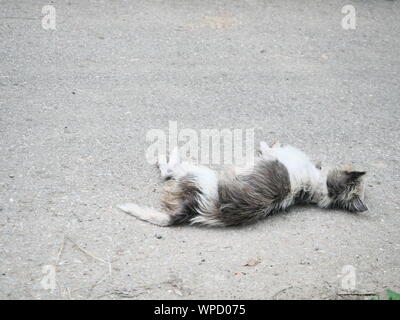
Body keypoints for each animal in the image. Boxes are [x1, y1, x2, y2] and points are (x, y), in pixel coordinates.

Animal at [117, 141, 368, 228]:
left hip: (195, 172)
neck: (313, 187)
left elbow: (269, 149)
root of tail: (194, 208)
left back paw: (166, 155)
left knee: (168, 170)